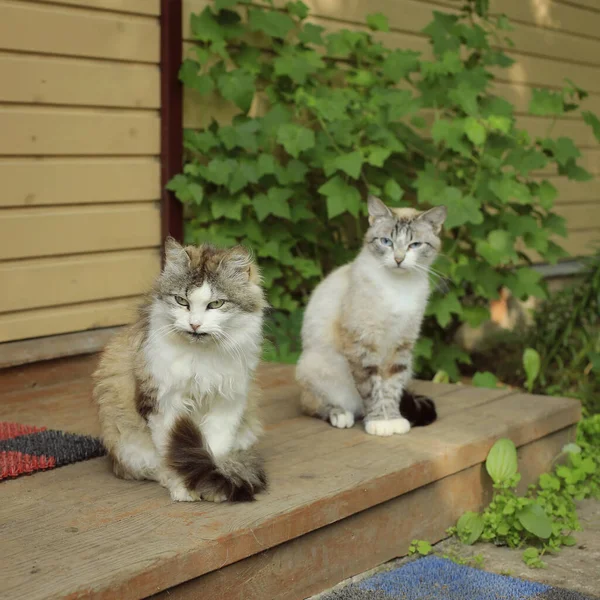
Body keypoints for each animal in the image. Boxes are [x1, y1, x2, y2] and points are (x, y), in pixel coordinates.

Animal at [93, 239, 268, 502]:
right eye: (182, 301)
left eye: (216, 304)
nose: (194, 324)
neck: (201, 357)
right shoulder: (163, 405)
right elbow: (173, 456)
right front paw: (186, 487)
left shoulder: (227, 403)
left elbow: (213, 450)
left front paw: (214, 482)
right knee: (154, 468)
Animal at [296, 196, 446, 436]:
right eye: (386, 242)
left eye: (414, 245)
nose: (398, 259)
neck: (399, 288)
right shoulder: (363, 342)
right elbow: (373, 390)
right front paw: (378, 422)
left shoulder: (402, 345)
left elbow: (391, 389)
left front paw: (393, 420)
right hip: (315, 365)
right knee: (313, 405)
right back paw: (341, 415)